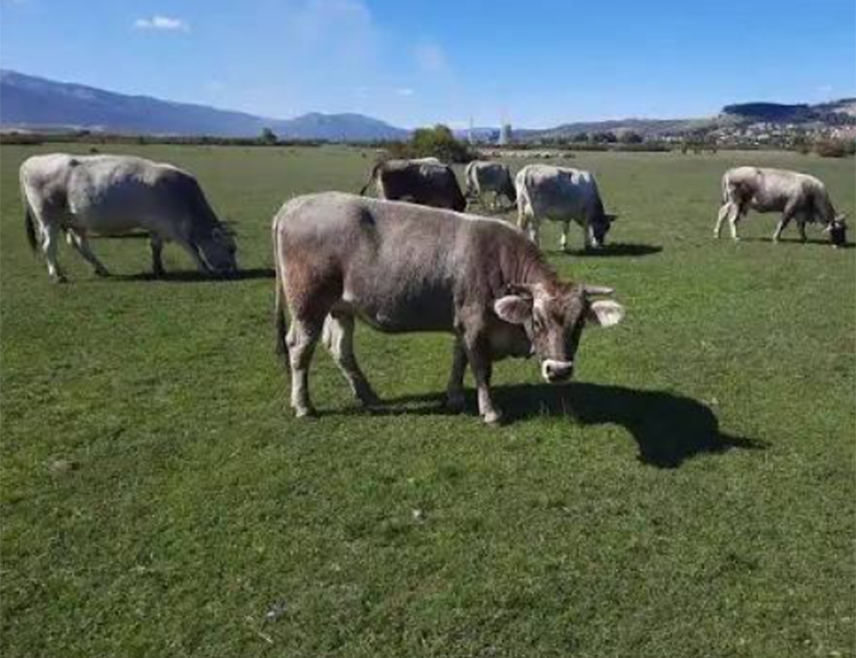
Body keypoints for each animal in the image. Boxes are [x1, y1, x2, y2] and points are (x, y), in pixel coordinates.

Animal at [20, 154, 237, 282]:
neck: (185, 198)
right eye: (231, 249)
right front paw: (205, 269)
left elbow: (155, 247)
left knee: (80, 245)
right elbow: (193, 250)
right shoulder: (173, 229)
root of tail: (30, 161)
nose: (233, 269)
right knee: (49, 246)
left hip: (75, 221)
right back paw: (57, 274)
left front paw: (158, 268)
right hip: (49, 219)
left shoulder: (156, 226)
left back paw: (101, 268)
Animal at [272, 192, 625, 424]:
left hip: (341, 307)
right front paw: (490, 411)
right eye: (537, 321)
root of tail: (293, 204)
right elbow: (481, 367)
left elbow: (460, 359)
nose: (559, 370)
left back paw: (367, 395)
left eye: (579, 323)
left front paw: (454, 395)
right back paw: (303, 405)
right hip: (308, 304)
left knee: (339, 348)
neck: (500, 261)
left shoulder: (462, 324)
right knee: (299, 348)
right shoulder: (474, 322)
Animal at [714, 166, 848, 245]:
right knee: (733, 219)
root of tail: (730, 171)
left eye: (845, 228)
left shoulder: (801, 212)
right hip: (737, 202)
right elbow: (782, 224)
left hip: (730, 202)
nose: (843, 243)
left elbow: (801, 227)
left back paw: (717, 234)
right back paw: (736, 237)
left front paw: (805, 239)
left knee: (722, 213)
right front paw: (776, 238)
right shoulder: (789, 208)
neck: (812, 190)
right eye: (839, 229)